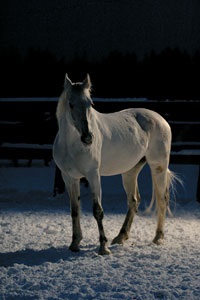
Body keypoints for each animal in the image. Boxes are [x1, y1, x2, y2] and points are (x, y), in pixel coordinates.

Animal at [52, 74, 175, 254]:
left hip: (158, 167)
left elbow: (97, 211)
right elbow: (75, 210)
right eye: (71, 103)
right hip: (130, 172)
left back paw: (158, 238)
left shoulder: (93, 175)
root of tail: (161, 119)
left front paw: (103, 247)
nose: (88, 138)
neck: (71, 145)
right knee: (134, 201)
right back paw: (121, 237)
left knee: (162, 199)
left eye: (90, 103)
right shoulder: (69, 177)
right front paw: (74, 244)